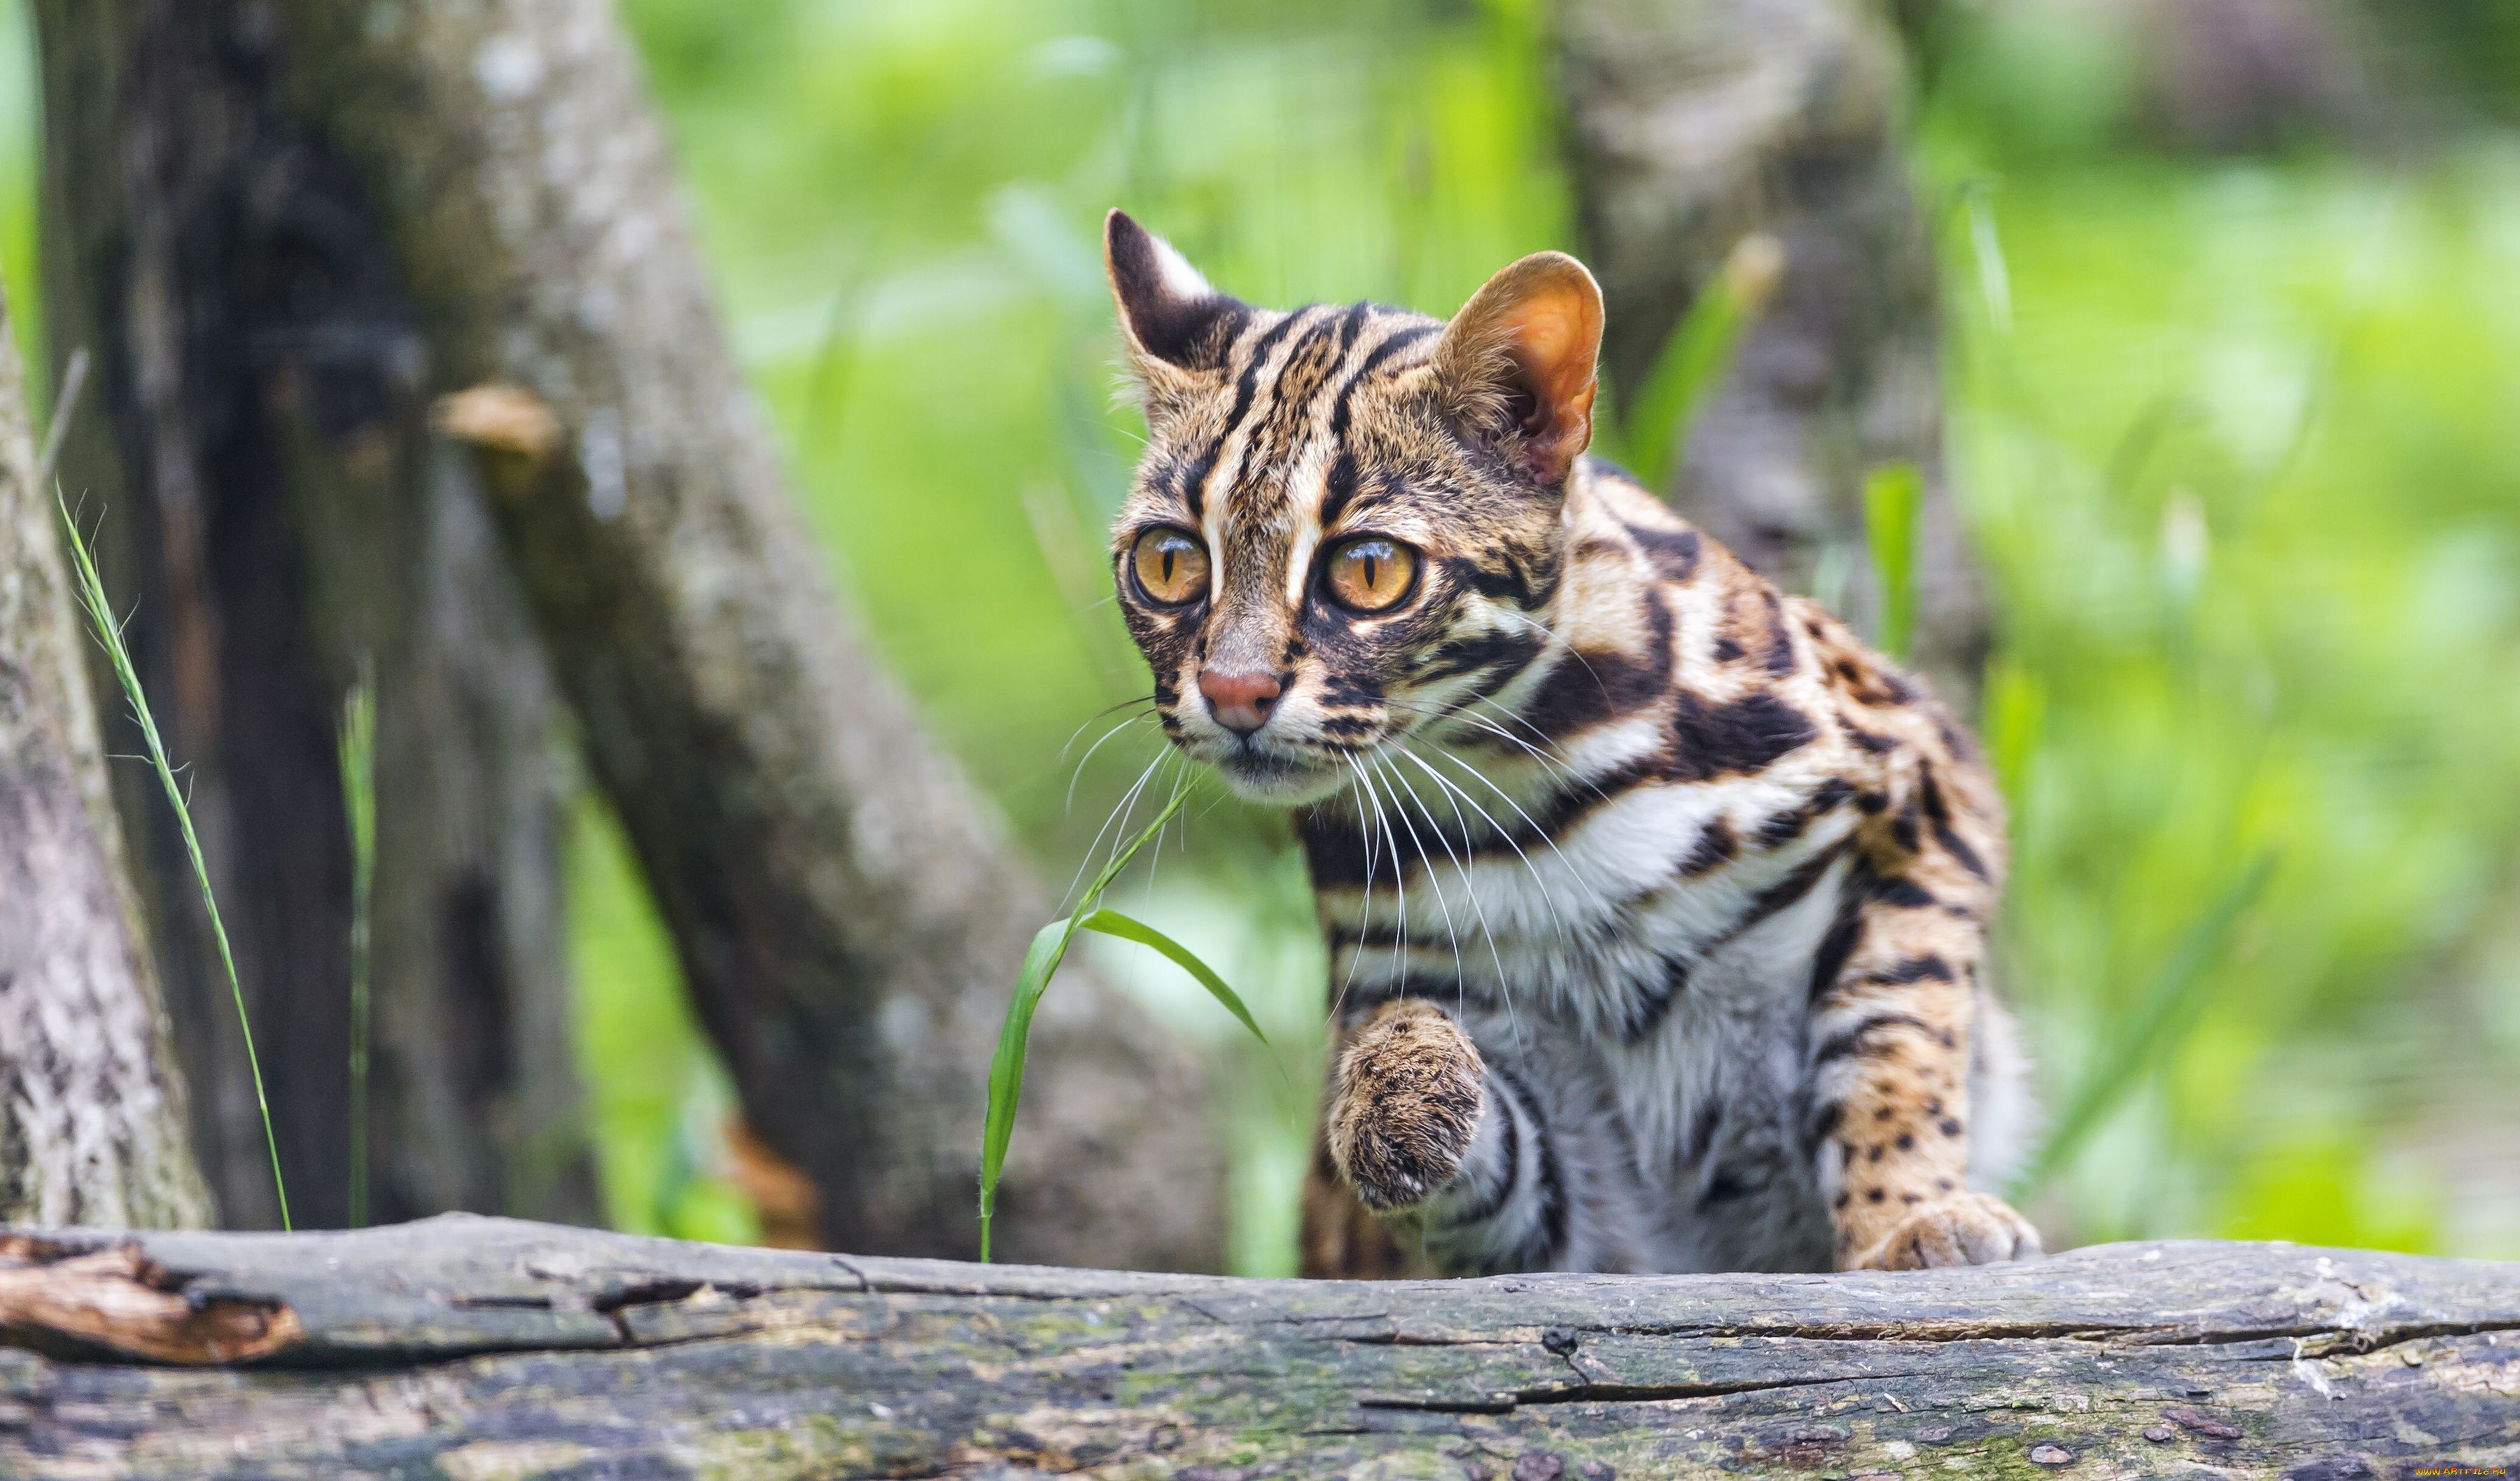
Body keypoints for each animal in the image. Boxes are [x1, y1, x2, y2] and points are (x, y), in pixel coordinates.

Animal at [1093, 211, 2036, 1284]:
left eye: (1369, 570)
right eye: (1169, 561)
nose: (1232, 691)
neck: (1522, 789)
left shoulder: (1926, 783)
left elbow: (1894, 1037)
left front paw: (1909, 1215)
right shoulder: (1544, 1183)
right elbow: (1476, 1161)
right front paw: (1398, 1090)